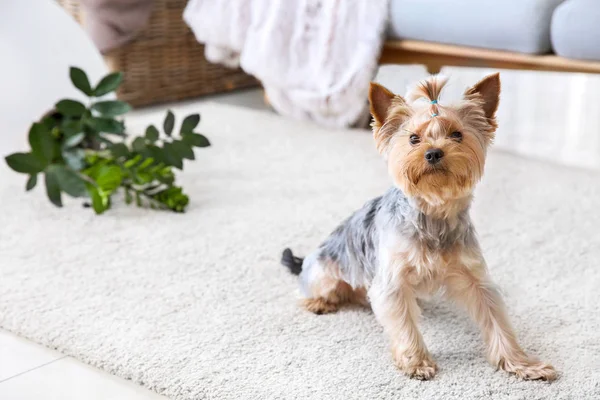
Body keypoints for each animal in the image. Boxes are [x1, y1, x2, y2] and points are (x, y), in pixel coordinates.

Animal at [282, 74, 556, 382]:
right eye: (413, 138)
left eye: (457, 135)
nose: (433, 153)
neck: (434, 211)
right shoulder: (392, 282)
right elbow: (404, 324)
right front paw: (416, 361)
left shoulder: (476, 279)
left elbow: (497, 320)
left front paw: (522, 364)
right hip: (325, 272)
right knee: (314, 289)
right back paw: (319, 302)